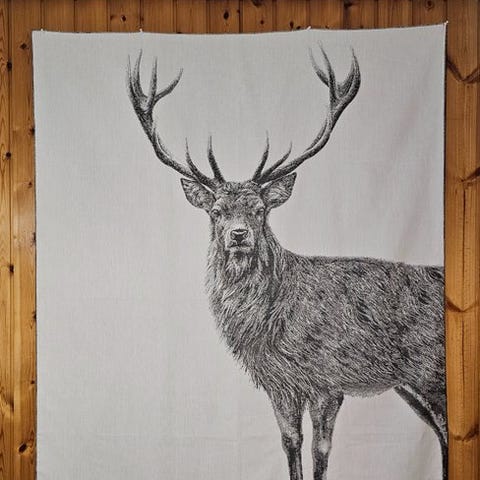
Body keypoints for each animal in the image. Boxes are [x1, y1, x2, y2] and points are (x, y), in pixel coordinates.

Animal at [127, 47, 446, 480]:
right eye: (216, 211)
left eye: (260, 210)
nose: (239, 234)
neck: (272, 325)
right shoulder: (279, 383)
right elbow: (290, 443)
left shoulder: (328, 377)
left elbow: (321, 450)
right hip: (411, 385)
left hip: (433, 371)